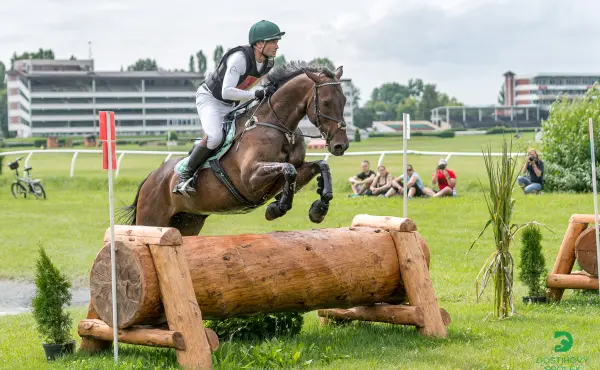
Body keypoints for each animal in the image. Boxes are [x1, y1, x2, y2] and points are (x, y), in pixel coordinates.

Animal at [119, 61, 350, 236]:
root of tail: (150, 178)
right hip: (152, 219)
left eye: (345, 100)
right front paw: (276, 208)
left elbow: (319, 166)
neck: (279, 125)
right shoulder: (250, 178)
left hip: (188, 221)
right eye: (326, 102)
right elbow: (288, 169)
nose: (341, 145)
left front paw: (319, 208)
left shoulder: (296, 170)